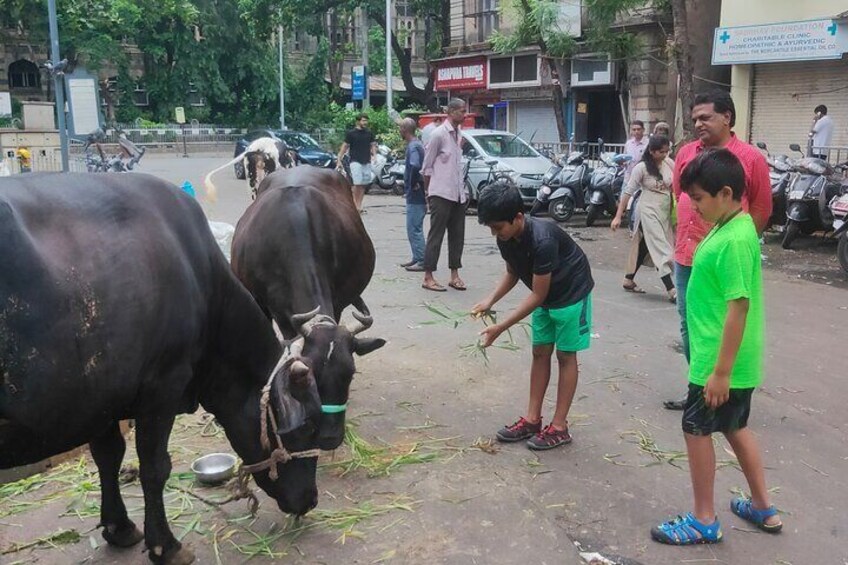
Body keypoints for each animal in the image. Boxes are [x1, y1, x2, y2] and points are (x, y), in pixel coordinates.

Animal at [0, 174, 322, 560]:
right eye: (308, 428)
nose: (311, 499)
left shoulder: (102, 398)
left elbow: (108, 456)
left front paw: (120, 527)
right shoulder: (162, 386)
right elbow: (155, 467)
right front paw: (165, 545)